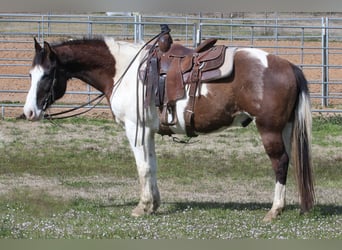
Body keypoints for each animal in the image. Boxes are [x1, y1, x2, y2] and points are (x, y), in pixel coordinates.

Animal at [22, 30, 314, 221]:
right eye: (30, 74)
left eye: (47, 75)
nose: (29, 112)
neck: (124, 71)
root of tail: (289, 66)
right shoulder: (148, 131)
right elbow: (152, 167)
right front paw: (154, 204)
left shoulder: (134, 129)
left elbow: (142, 168)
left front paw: (142, 207)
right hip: (285, 129)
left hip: (269, 129)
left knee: (280, 163)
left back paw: (274, 210)